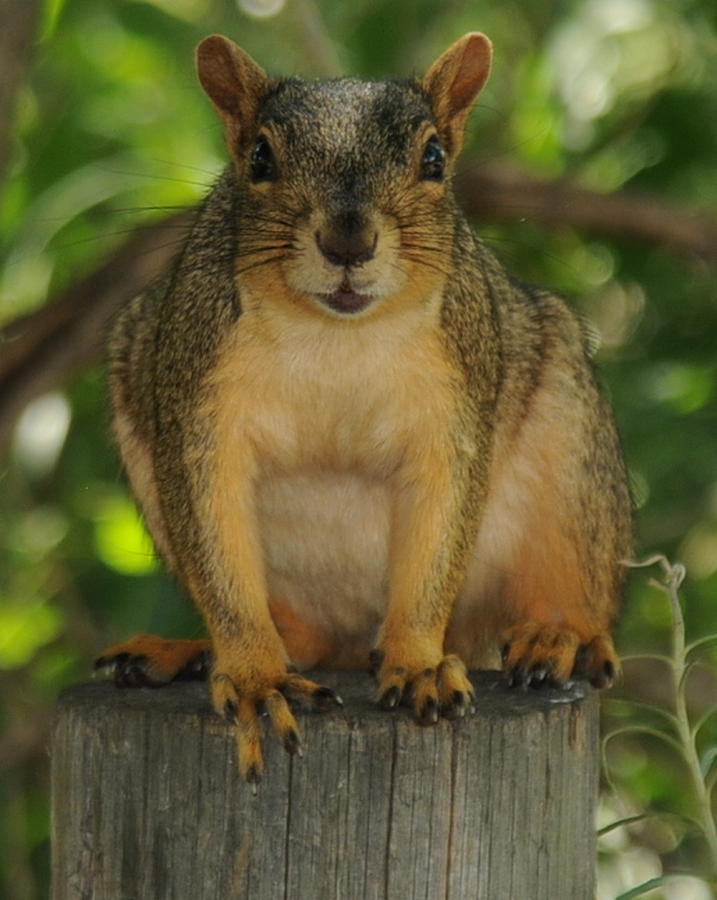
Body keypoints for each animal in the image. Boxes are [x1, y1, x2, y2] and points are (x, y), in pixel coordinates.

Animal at [98, 31, 628, 784]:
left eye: (434, 158)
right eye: (258, 158)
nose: (347, 240)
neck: (334, 335)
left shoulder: (453, 415)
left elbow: (437, 546)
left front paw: (419, 663)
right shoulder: (193, 416)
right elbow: (216, 552)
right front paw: (254, 678)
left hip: (571, 450)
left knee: (574, 586)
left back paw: (560, 635)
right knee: (301, 636)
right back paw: (197, 652)